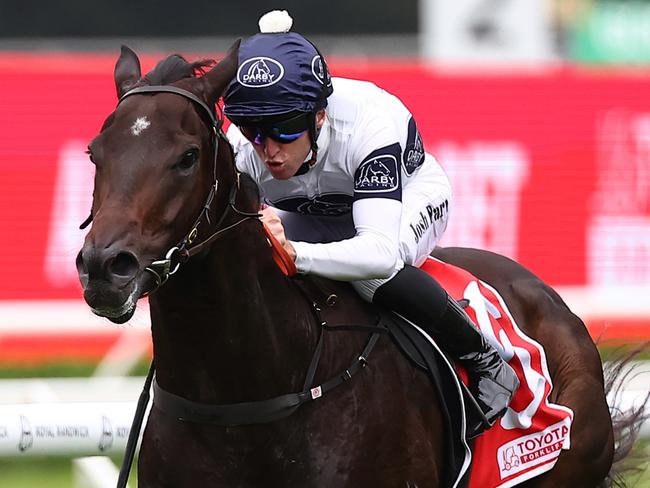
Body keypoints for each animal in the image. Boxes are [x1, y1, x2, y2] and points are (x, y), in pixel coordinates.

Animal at [74, 43, 636, 488]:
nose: (104, 267)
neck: (242, 402)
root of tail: (550, 300)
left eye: (187, 156)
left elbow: (380, 258)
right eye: (95, 153)